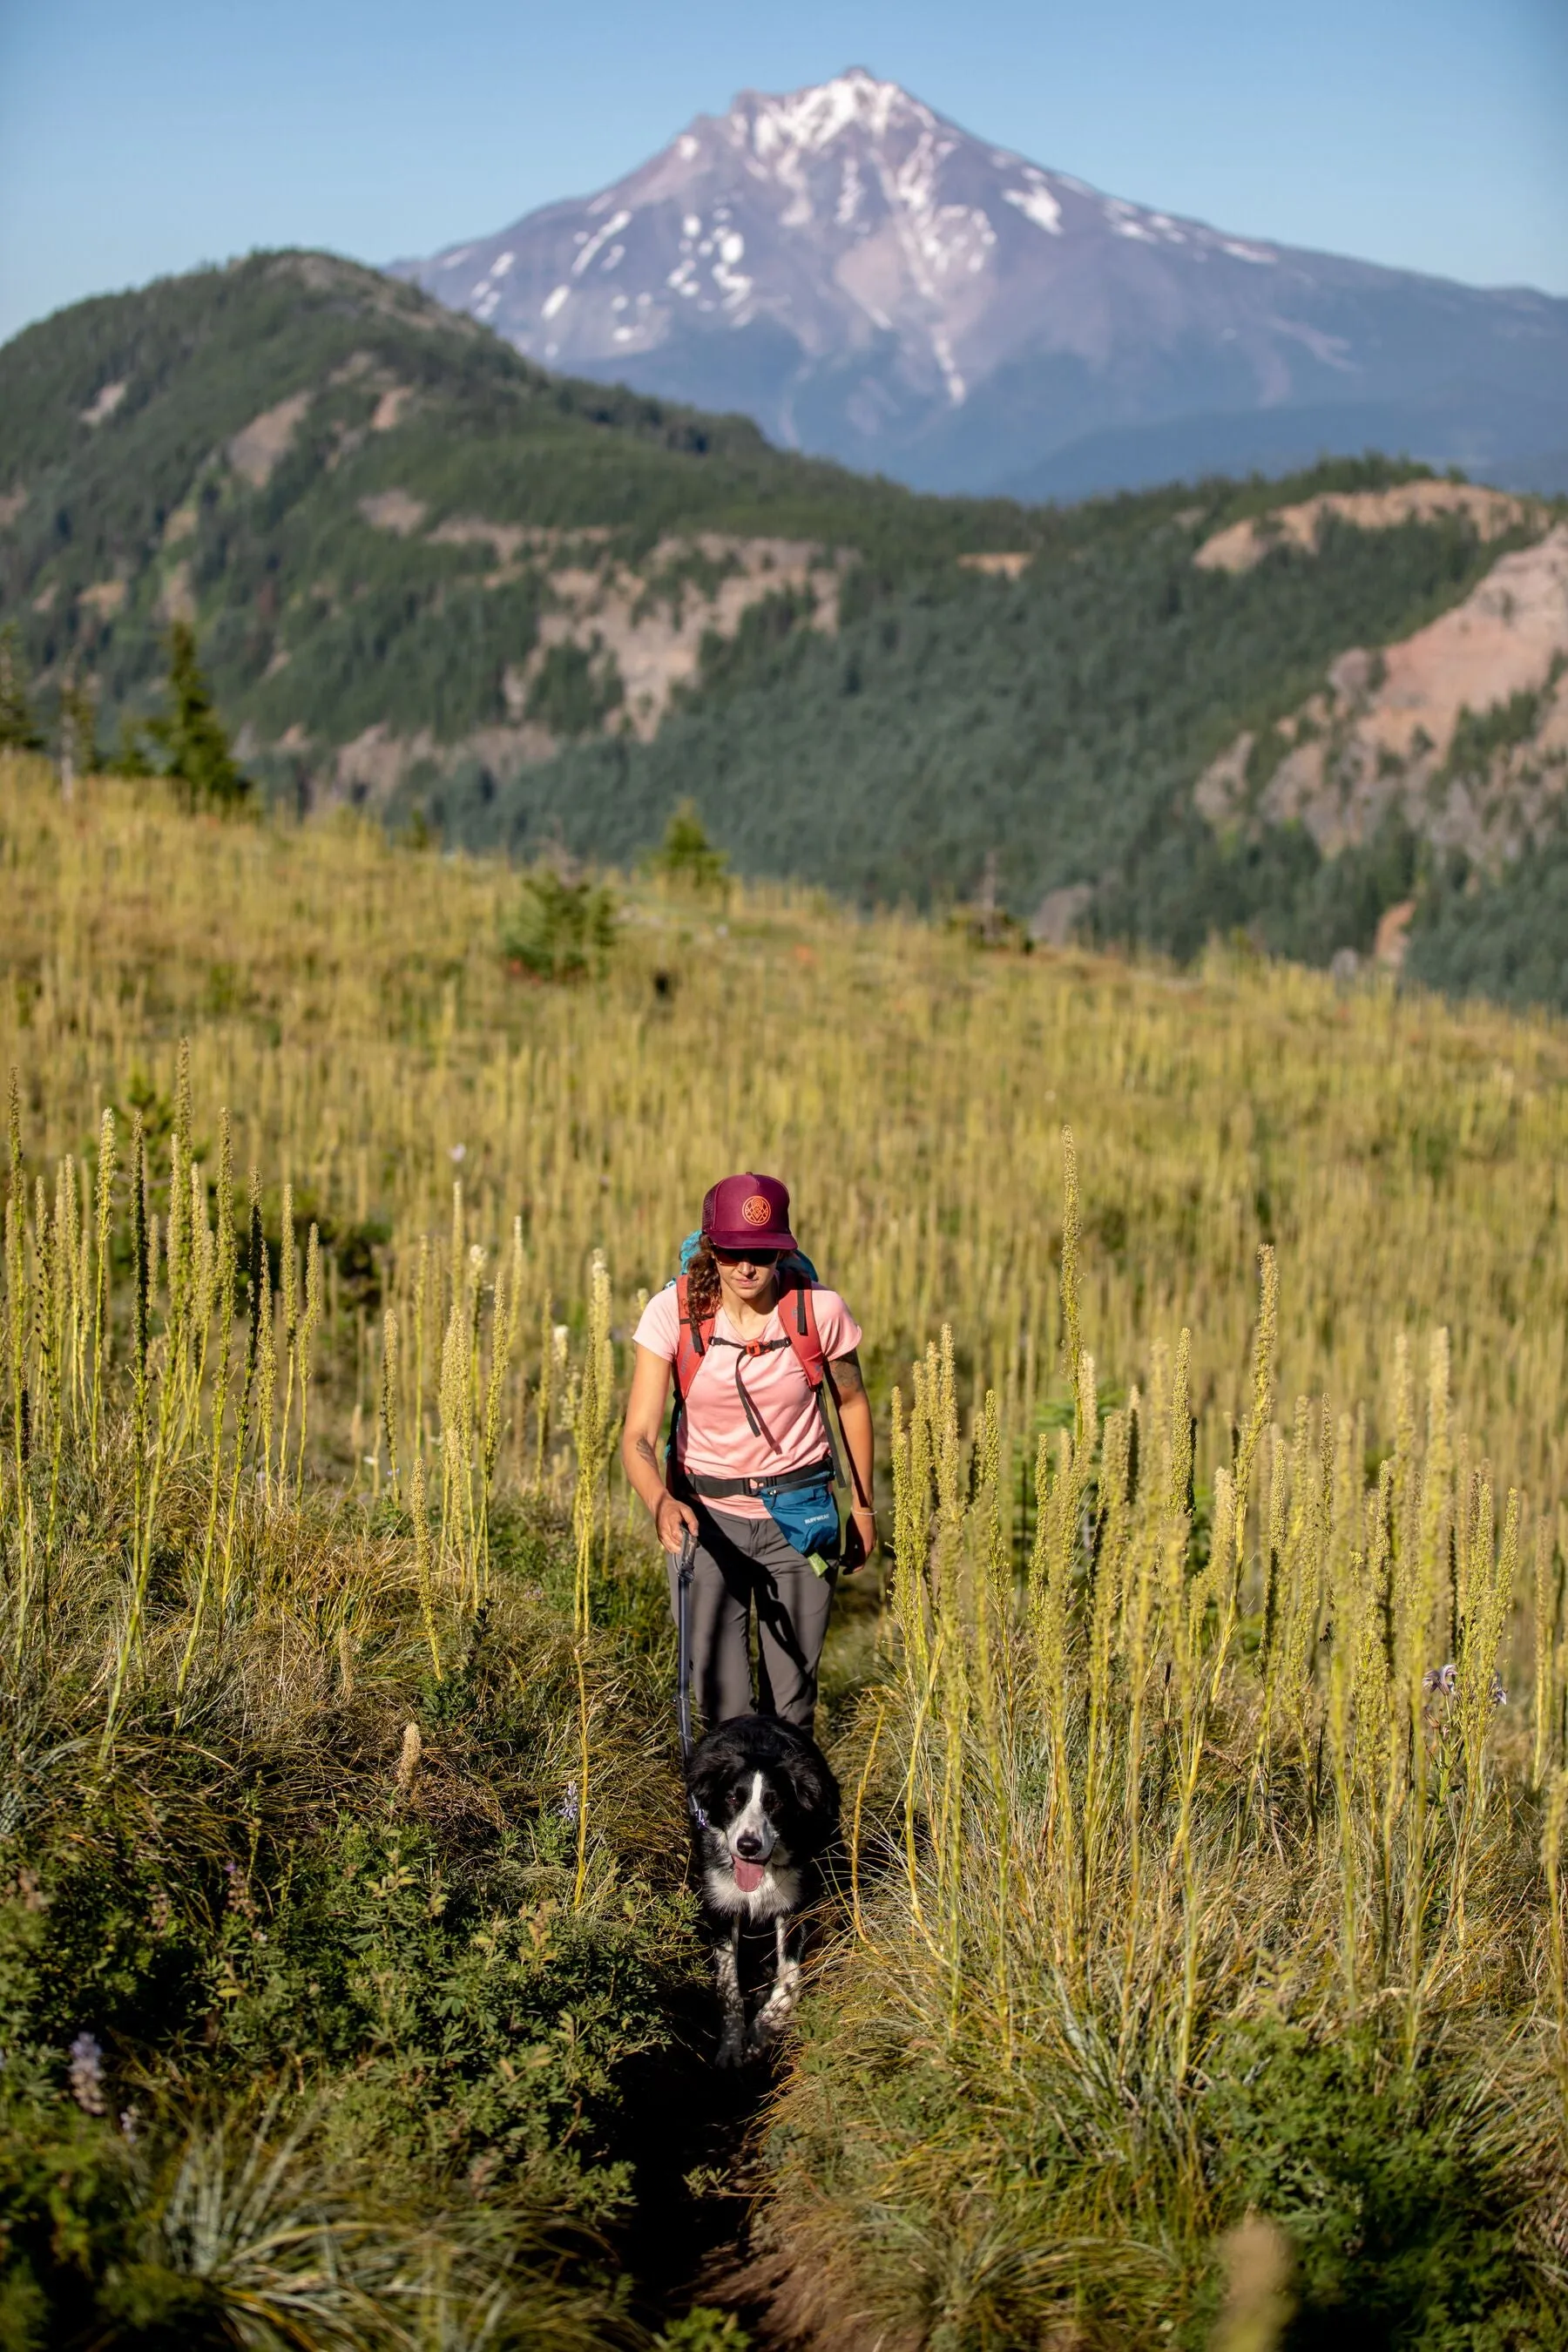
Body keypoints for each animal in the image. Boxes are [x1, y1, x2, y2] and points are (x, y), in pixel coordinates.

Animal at [681, 1721, 832, 2070]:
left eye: (775, 1803)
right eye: (732, 1799)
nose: (748, 1846)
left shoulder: (795, 1903)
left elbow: (789, 1982)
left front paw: (760, 2034)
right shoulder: (721, 1903)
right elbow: (728, 1984)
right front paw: (731, 2046)